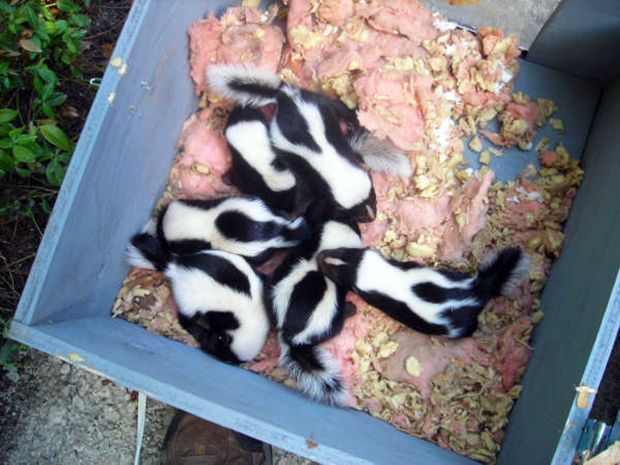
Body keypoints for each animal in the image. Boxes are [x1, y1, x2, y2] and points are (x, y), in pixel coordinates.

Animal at [126, 232, 268, 362]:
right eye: (219, 339)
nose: (206, 341)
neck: (252, 316)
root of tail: (176, 266)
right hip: (190, 301)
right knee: (185, 319)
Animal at [155, 195, 310, 264]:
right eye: (163, 212)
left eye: (172, 245)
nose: (157, 230)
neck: (202, 222)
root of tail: (279, 230)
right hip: (262, 206)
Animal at [208, 64, 378, 222]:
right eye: (356, 214)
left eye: (373, 198)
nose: (372, 217)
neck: (335, 168)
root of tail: (286, 96)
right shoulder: (308, 176)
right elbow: (303, 197)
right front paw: (295, 213)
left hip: (318, 103)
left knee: (338, 107)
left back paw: (353, 120)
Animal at [268, 216, 364, 404]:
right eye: (356, 228)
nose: (355, 222)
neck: (318, 254)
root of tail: (289, 336)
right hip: (325, 321)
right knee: (335, 324)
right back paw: (350, 310)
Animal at [320, 246, 528, 338]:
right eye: (341, 251)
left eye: (336, 274)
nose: (319, 256)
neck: (384, 274)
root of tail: (476, 291)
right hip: (452, 275)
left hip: (453, 326)